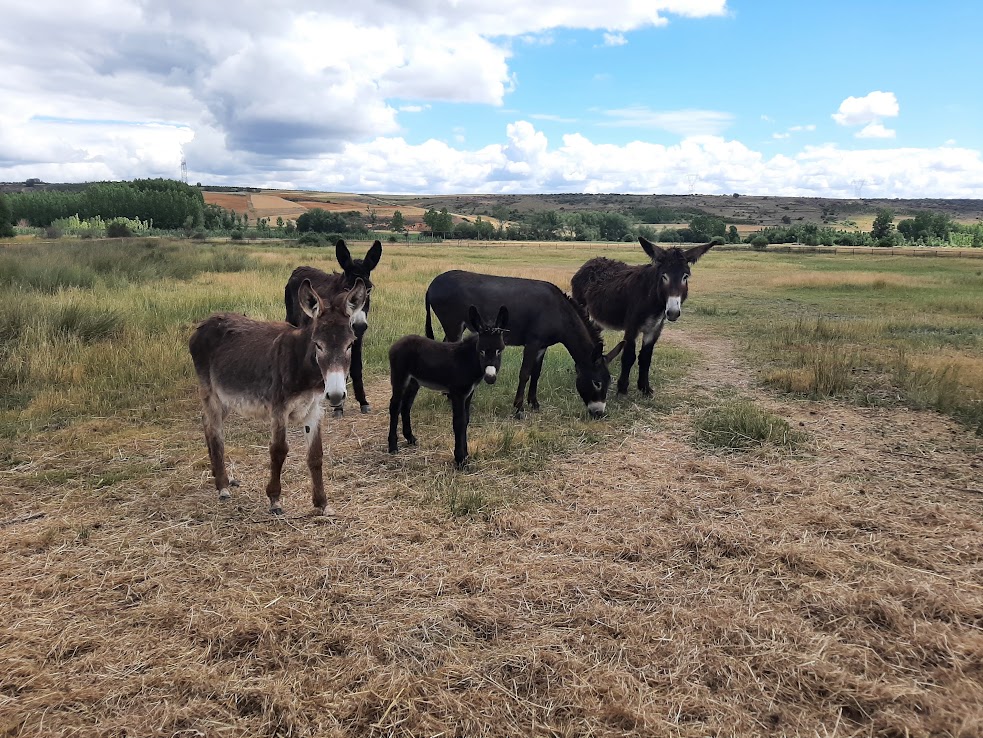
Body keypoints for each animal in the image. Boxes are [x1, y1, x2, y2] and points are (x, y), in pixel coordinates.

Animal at [190, 279, 368, 515]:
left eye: (350, 344)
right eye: (318, 345)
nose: (336, 395)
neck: (304, 369)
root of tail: (205, 321)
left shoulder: (314, 410)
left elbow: (316, 455)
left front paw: (322, 503)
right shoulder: (278, 409)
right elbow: (279, 450)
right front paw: (274, 499)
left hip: (226, 397)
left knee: (206, 422)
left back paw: (219, 477)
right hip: (210, 392)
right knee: (215, 431)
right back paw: (223, 486)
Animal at [284, 239, 382, 414]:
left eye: (369, 290)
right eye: (346, 289)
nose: (358, 326)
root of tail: (298, 268)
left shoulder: (356, 340)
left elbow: (356, 367)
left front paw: (363, 401)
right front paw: (338, 407)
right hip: (292, 319)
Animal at [389, 306, 508, 468]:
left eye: (499, 350)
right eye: (481, 350)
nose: (490, 378)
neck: (468, 360)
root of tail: (398, 343)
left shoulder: (469, 393)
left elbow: (466, 420)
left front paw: (465, 455)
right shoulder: (457, 393)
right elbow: (459, 422)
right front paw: (460, 461)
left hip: (414, 382)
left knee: (406, 406)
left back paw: (410, 438)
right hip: (400, 377)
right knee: (395, 406)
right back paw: (392, 447)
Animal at [424, 271, 624, 419]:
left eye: (609, 382)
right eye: (597, 383)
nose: (599, 413)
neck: (559, 313)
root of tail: (431, 285)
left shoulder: (542, 346)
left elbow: (536, 373)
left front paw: (534, 403)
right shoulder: (533, 342)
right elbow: (525, 373)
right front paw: (519, 408)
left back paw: (446, 393)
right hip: (453, 324)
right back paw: (450, 396)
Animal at [571, 237, 714, 396]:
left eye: (685, 276)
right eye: (664, 276)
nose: (673, 312)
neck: (652, 300)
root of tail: (590, 261)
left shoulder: (654, 329)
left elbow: (646, 358)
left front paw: (645, 388)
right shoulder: (631, 327)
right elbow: (629, 356)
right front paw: (622, 389)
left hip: (597, 319)